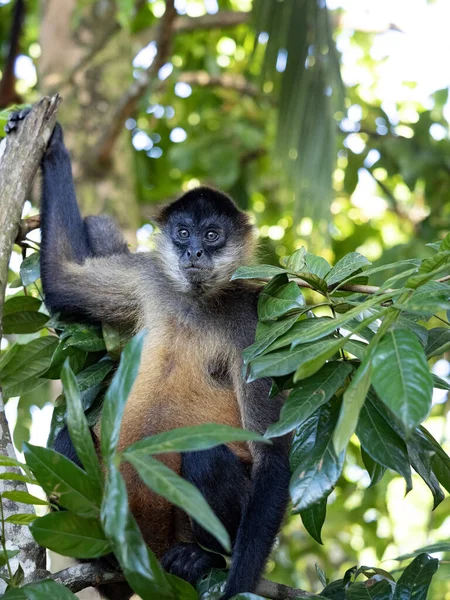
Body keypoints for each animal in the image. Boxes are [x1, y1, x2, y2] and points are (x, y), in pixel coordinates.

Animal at [6, 110, 292, 596]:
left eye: (212, 235)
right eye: (183, 233)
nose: (193, 250)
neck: (196, 301)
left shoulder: (255, 321)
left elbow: (271, 454)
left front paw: (237, 586)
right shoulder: (148, 278)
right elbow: (62, 279)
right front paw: (50, 140)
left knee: (206, 456)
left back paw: (202, 558)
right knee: (66, 437)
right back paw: (101, 556)